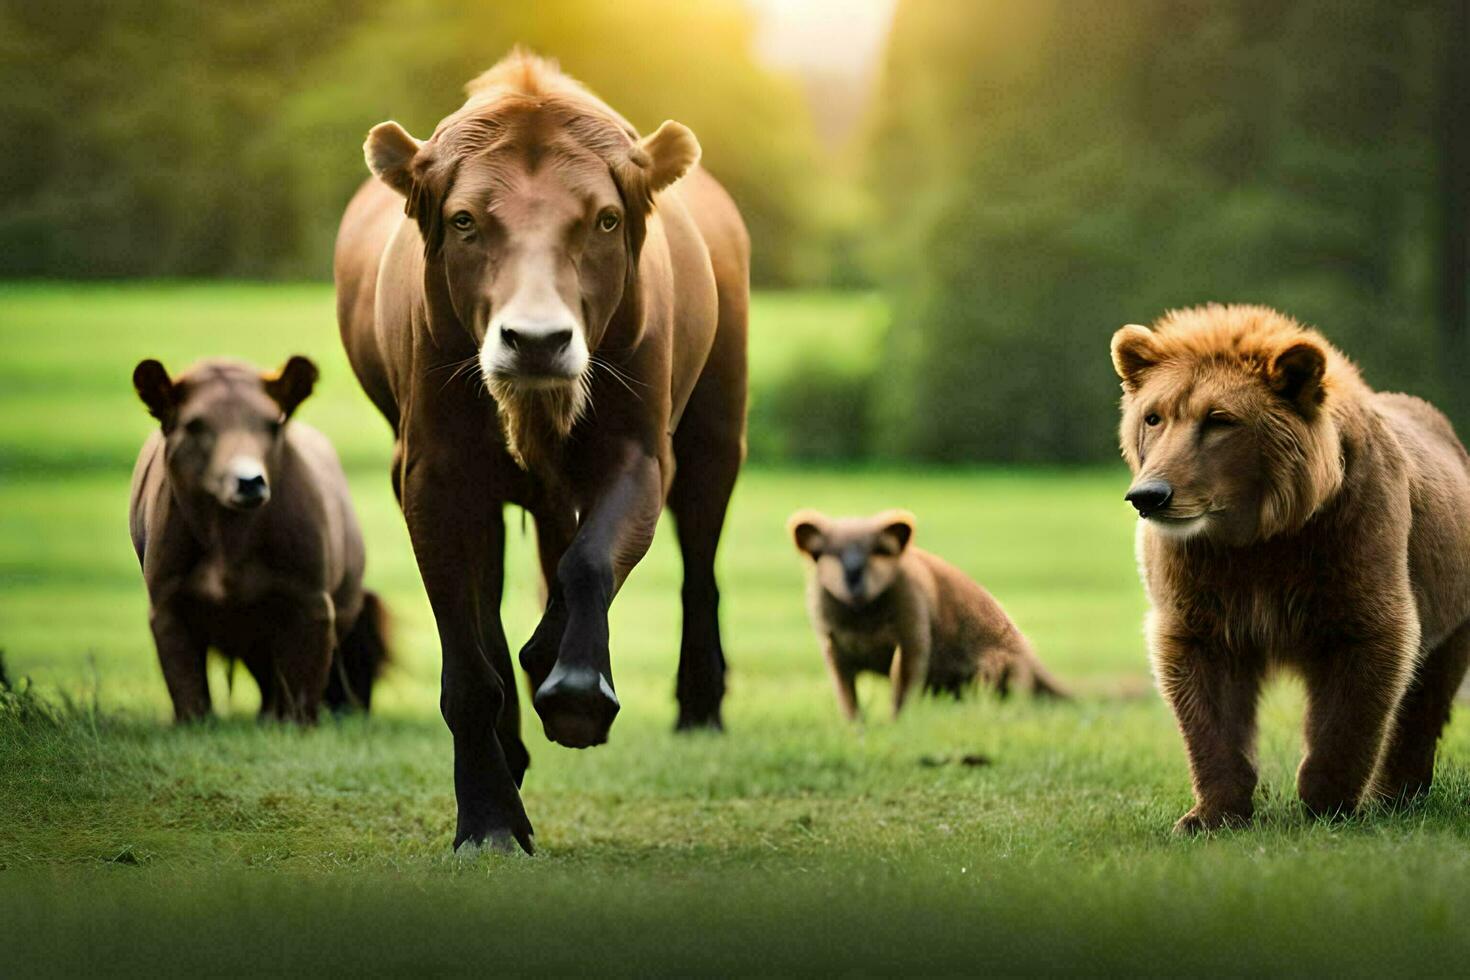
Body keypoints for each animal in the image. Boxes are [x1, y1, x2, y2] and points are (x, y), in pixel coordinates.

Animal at [130, 357, 391, 725]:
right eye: (195, 425)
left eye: (271, 425)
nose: (249, 480)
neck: (229, 541)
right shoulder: (167, 604)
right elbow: (188, 688)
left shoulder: (310, 603)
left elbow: (301, 689)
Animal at [333, 49, 746, 852]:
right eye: (464, 220)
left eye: (606, 218)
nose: (536, 340)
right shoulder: (430, 474)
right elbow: (470, 662)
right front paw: (489, 816)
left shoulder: (641, 454)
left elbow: (588, 562)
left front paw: (577, 689)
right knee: (497, 599)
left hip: (717, 430)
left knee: (698, 566)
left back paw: (697, 702)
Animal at [1105, 302, 1470, 834]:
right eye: (1154, 416)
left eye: (1219, 419)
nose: (1150, 494)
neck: (1261, 532)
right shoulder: (1203, 578)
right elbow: (1204, 685)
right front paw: (1209, 813)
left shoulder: (1346, 547)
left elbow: (1362, 671)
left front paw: (1329, 801)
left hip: (1451, 596)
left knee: (1428, 694)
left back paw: (1396, 794)